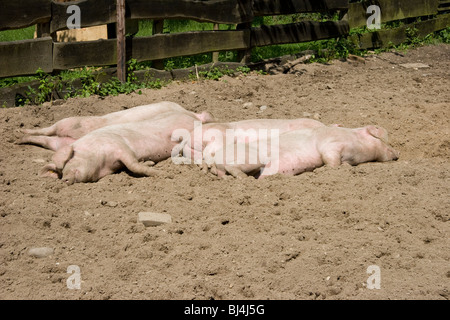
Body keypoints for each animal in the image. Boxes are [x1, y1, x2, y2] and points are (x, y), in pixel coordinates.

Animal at [17, 102, 214, 152]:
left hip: (59, 138)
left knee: (44, 136)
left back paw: (19, 138)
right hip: (66, 121)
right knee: (45, 130)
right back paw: (19, 133)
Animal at [41, 110, 211, 184]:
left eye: (69, 160)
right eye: (59, 173)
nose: (64, 179)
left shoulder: (120, 147)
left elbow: (135, 166)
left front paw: (164, 174)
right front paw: (150, 163)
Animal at [209, 124, 400, 179]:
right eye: (382, 140)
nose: (397, 154)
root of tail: (215, 159)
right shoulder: (331, 144)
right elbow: (330, 159)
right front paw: (328, 169)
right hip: (251, 158)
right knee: (233, 168)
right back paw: (245, 179)